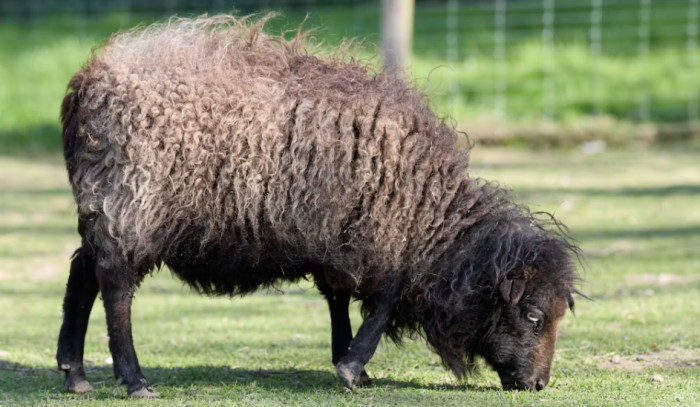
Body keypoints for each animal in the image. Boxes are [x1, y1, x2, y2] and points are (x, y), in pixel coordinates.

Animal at [56, 14, 580, 398]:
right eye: (534, 315)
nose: (538, 384)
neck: (429, 218)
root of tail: (90, 79)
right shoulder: (381, 243)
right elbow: (382, 303)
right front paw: (352, 367)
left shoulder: (341, 243)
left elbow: (338, 301)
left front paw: (349, 363)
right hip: (134, 202)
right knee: (115, 285)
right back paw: (134, 380)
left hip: (104, 206)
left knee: (83, 271)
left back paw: (75, 373)